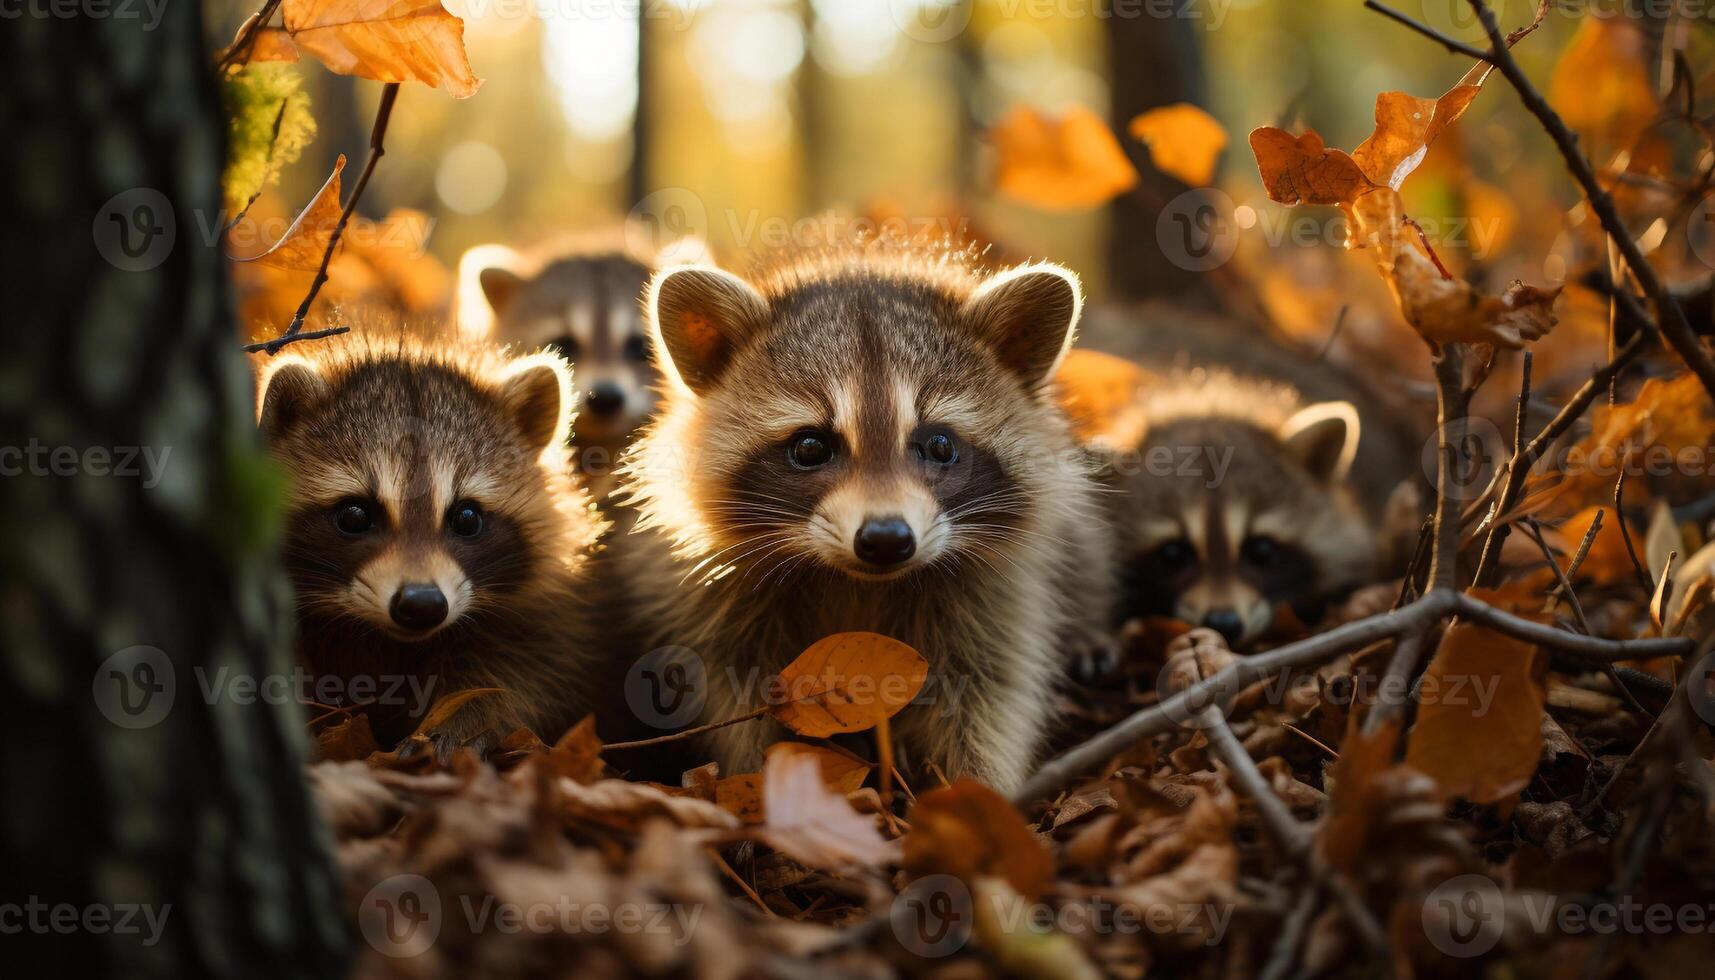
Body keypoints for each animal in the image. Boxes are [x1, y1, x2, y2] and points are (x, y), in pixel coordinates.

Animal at [253, 332, 603, 755]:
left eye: (467, 518)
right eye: (354, 516)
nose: (422, 605)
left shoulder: (543, 615)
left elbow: (528, 671)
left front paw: (464, 723)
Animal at [617, 248, 1111, 792]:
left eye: (940, 444)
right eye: (810, 446)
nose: (886, 539)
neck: (856, 583)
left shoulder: (997, 592)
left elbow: (988, 692)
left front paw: (981, 790)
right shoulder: (712, 598)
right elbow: (731, 693)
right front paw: (748, 780)